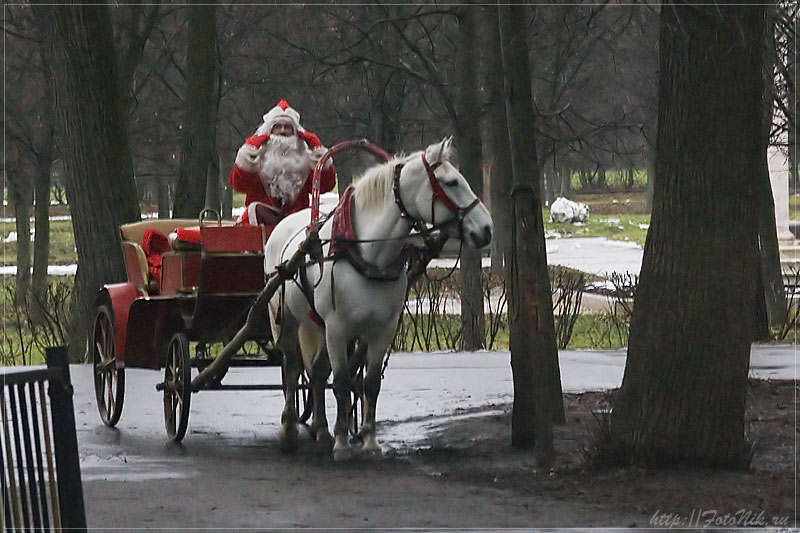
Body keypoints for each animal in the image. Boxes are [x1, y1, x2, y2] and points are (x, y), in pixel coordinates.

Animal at [266, 137, 494, 458]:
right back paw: (288, 429)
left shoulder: (382, 330)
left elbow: (369, 384)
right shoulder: (337, 329)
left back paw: (321, 430)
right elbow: (342, 383)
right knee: (292, 368)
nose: (486, 229)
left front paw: (369, 441)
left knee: (317, 372)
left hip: (316, 324)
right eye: (451, 182)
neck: (366, 254)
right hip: (285, 320)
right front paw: (342, 443)